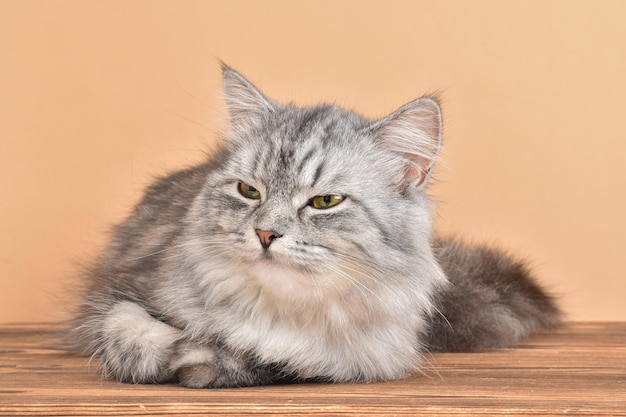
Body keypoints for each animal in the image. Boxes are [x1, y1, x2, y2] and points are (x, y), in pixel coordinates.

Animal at [67, 63, 556, 388]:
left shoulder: (359, 358)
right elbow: (135, 339)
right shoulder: (113, 296)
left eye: (324, 202)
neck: (282, 313)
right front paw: (191, 355)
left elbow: (276, 362)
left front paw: (212, 362)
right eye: (249, 191)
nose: (265, 234)